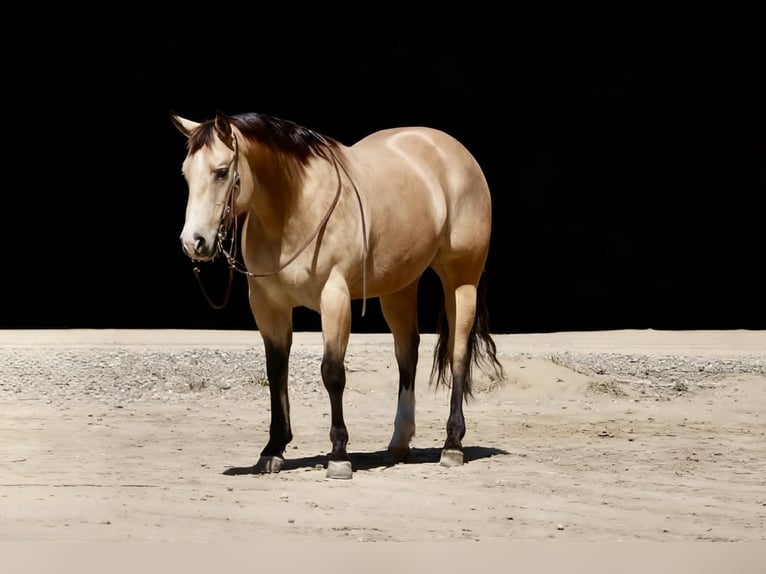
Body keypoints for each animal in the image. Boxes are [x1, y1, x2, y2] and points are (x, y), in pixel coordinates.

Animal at [171, 110, 505, 479]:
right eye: (186, 174)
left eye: (221, 171)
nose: (193, 243)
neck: (294, 208)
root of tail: (454, 151)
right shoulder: (268, 306)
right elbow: (276, 372)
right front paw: (273, 449)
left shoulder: (335, 298)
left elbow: (332, 372)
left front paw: (339, 454)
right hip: (399, 287)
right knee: (407, 354)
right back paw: (398, 444)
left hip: (461, 280)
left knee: (458, 354)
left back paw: (452, 445)